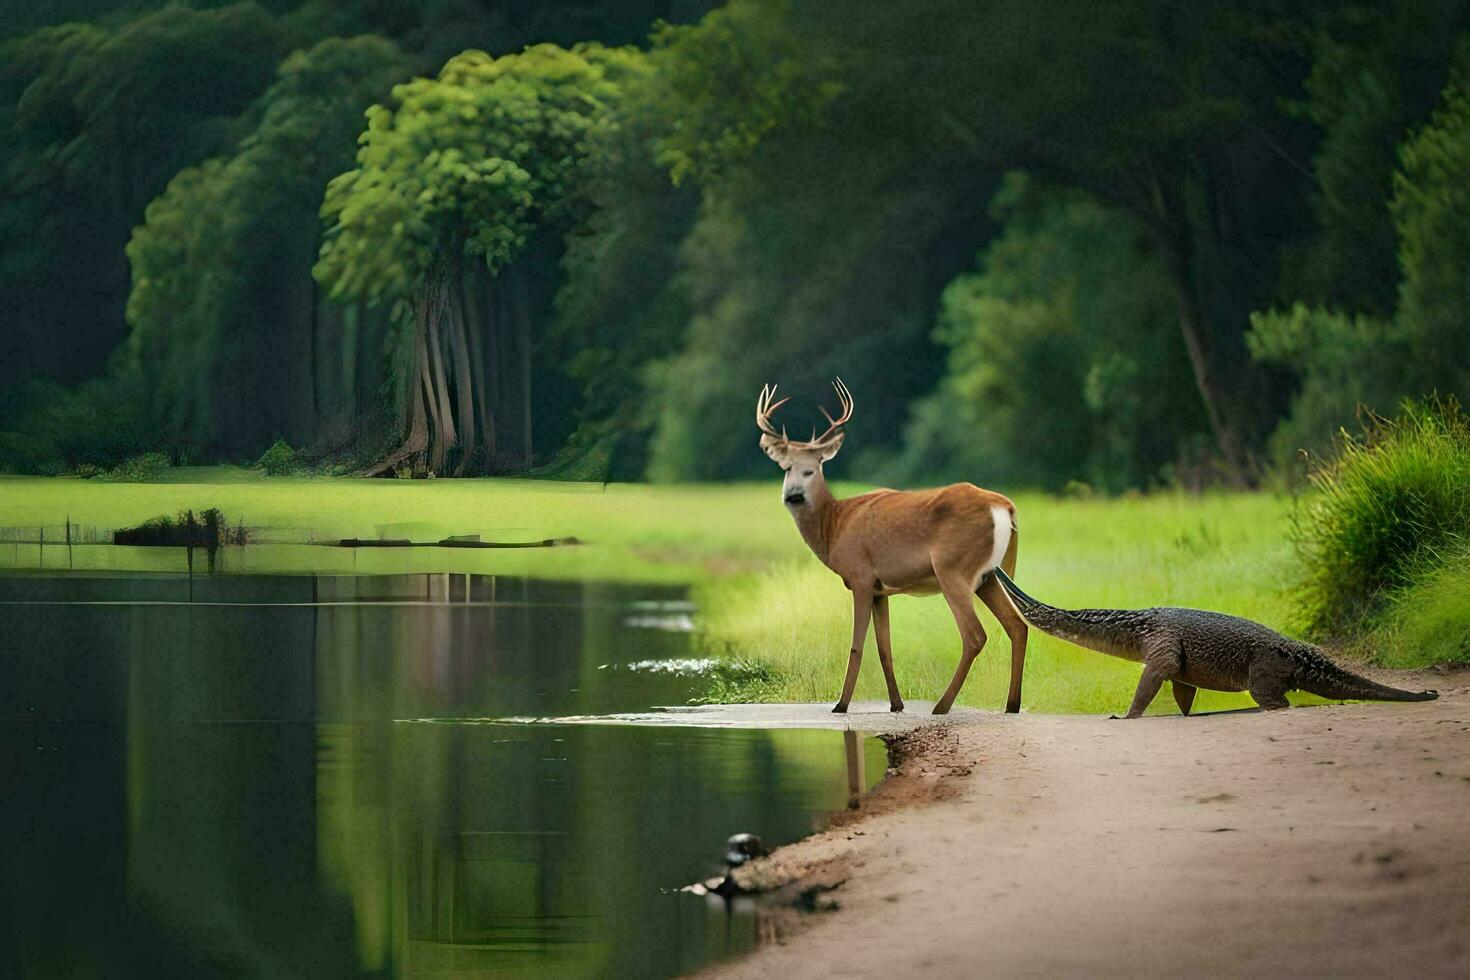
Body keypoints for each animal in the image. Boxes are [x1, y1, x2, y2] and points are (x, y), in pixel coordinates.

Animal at [758, 379, 1023, 717]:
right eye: (787, 468)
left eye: (812, 470)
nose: (793, 495)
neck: (835, 526)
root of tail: (1004, 507)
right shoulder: (880, 589)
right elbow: (885, 647)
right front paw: (896, 704)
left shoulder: (859, 577)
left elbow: (857, 645)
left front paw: (841, 706)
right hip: (989, 576)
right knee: (1017, 625)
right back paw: (1011, 705)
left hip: (953, 569)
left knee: (975, 635)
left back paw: (942, 706)